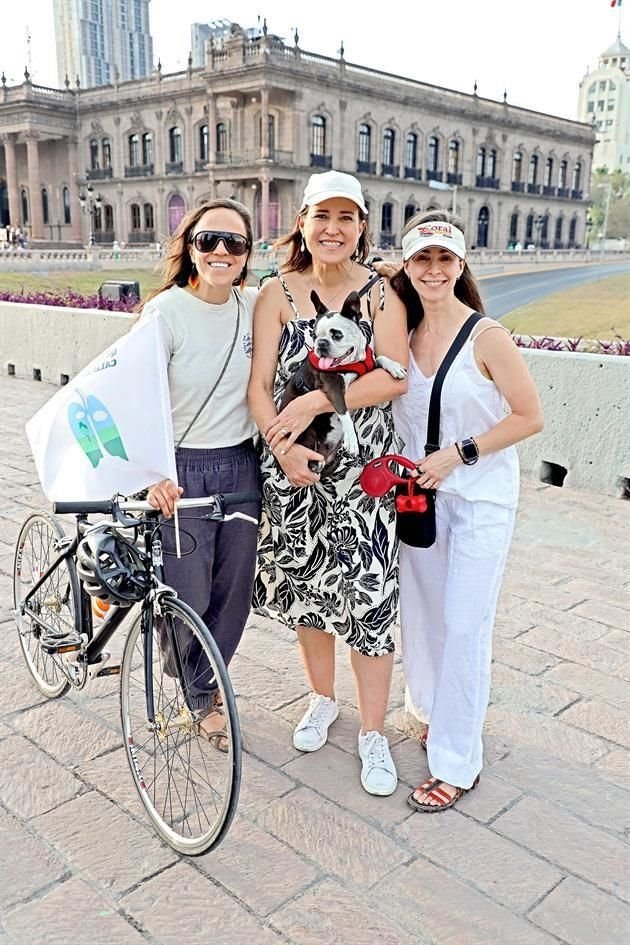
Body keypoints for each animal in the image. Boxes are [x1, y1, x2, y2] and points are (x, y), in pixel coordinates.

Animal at [278, 290, 408, 480]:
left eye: (337, 335)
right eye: (314, 336)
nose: (321, 343)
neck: (353, 362)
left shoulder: (369, 366)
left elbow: (380, 357)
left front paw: (394, 366)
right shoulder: (332, 385)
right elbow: (343, 409)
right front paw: (351, 438)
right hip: (306, 432)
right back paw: (315, 463)